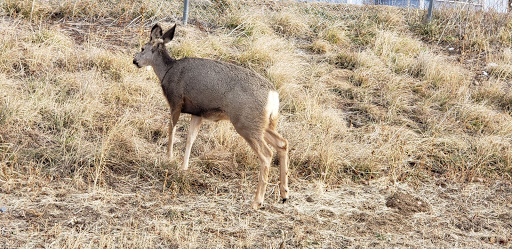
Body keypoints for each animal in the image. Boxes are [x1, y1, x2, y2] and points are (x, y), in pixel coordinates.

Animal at [133, 24, 288, 209]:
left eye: (143, 48)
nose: (134, 60)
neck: (167, 71)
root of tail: (273, 95)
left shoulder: (176, 100)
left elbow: (171, 129)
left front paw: (168, 158)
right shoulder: (198, 112)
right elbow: (190, 139)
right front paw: (183, 167)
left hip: (246, 122)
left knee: (266, 154)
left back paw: (257, 201)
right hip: (262, 123)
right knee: (282, 143)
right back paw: (284, 194)